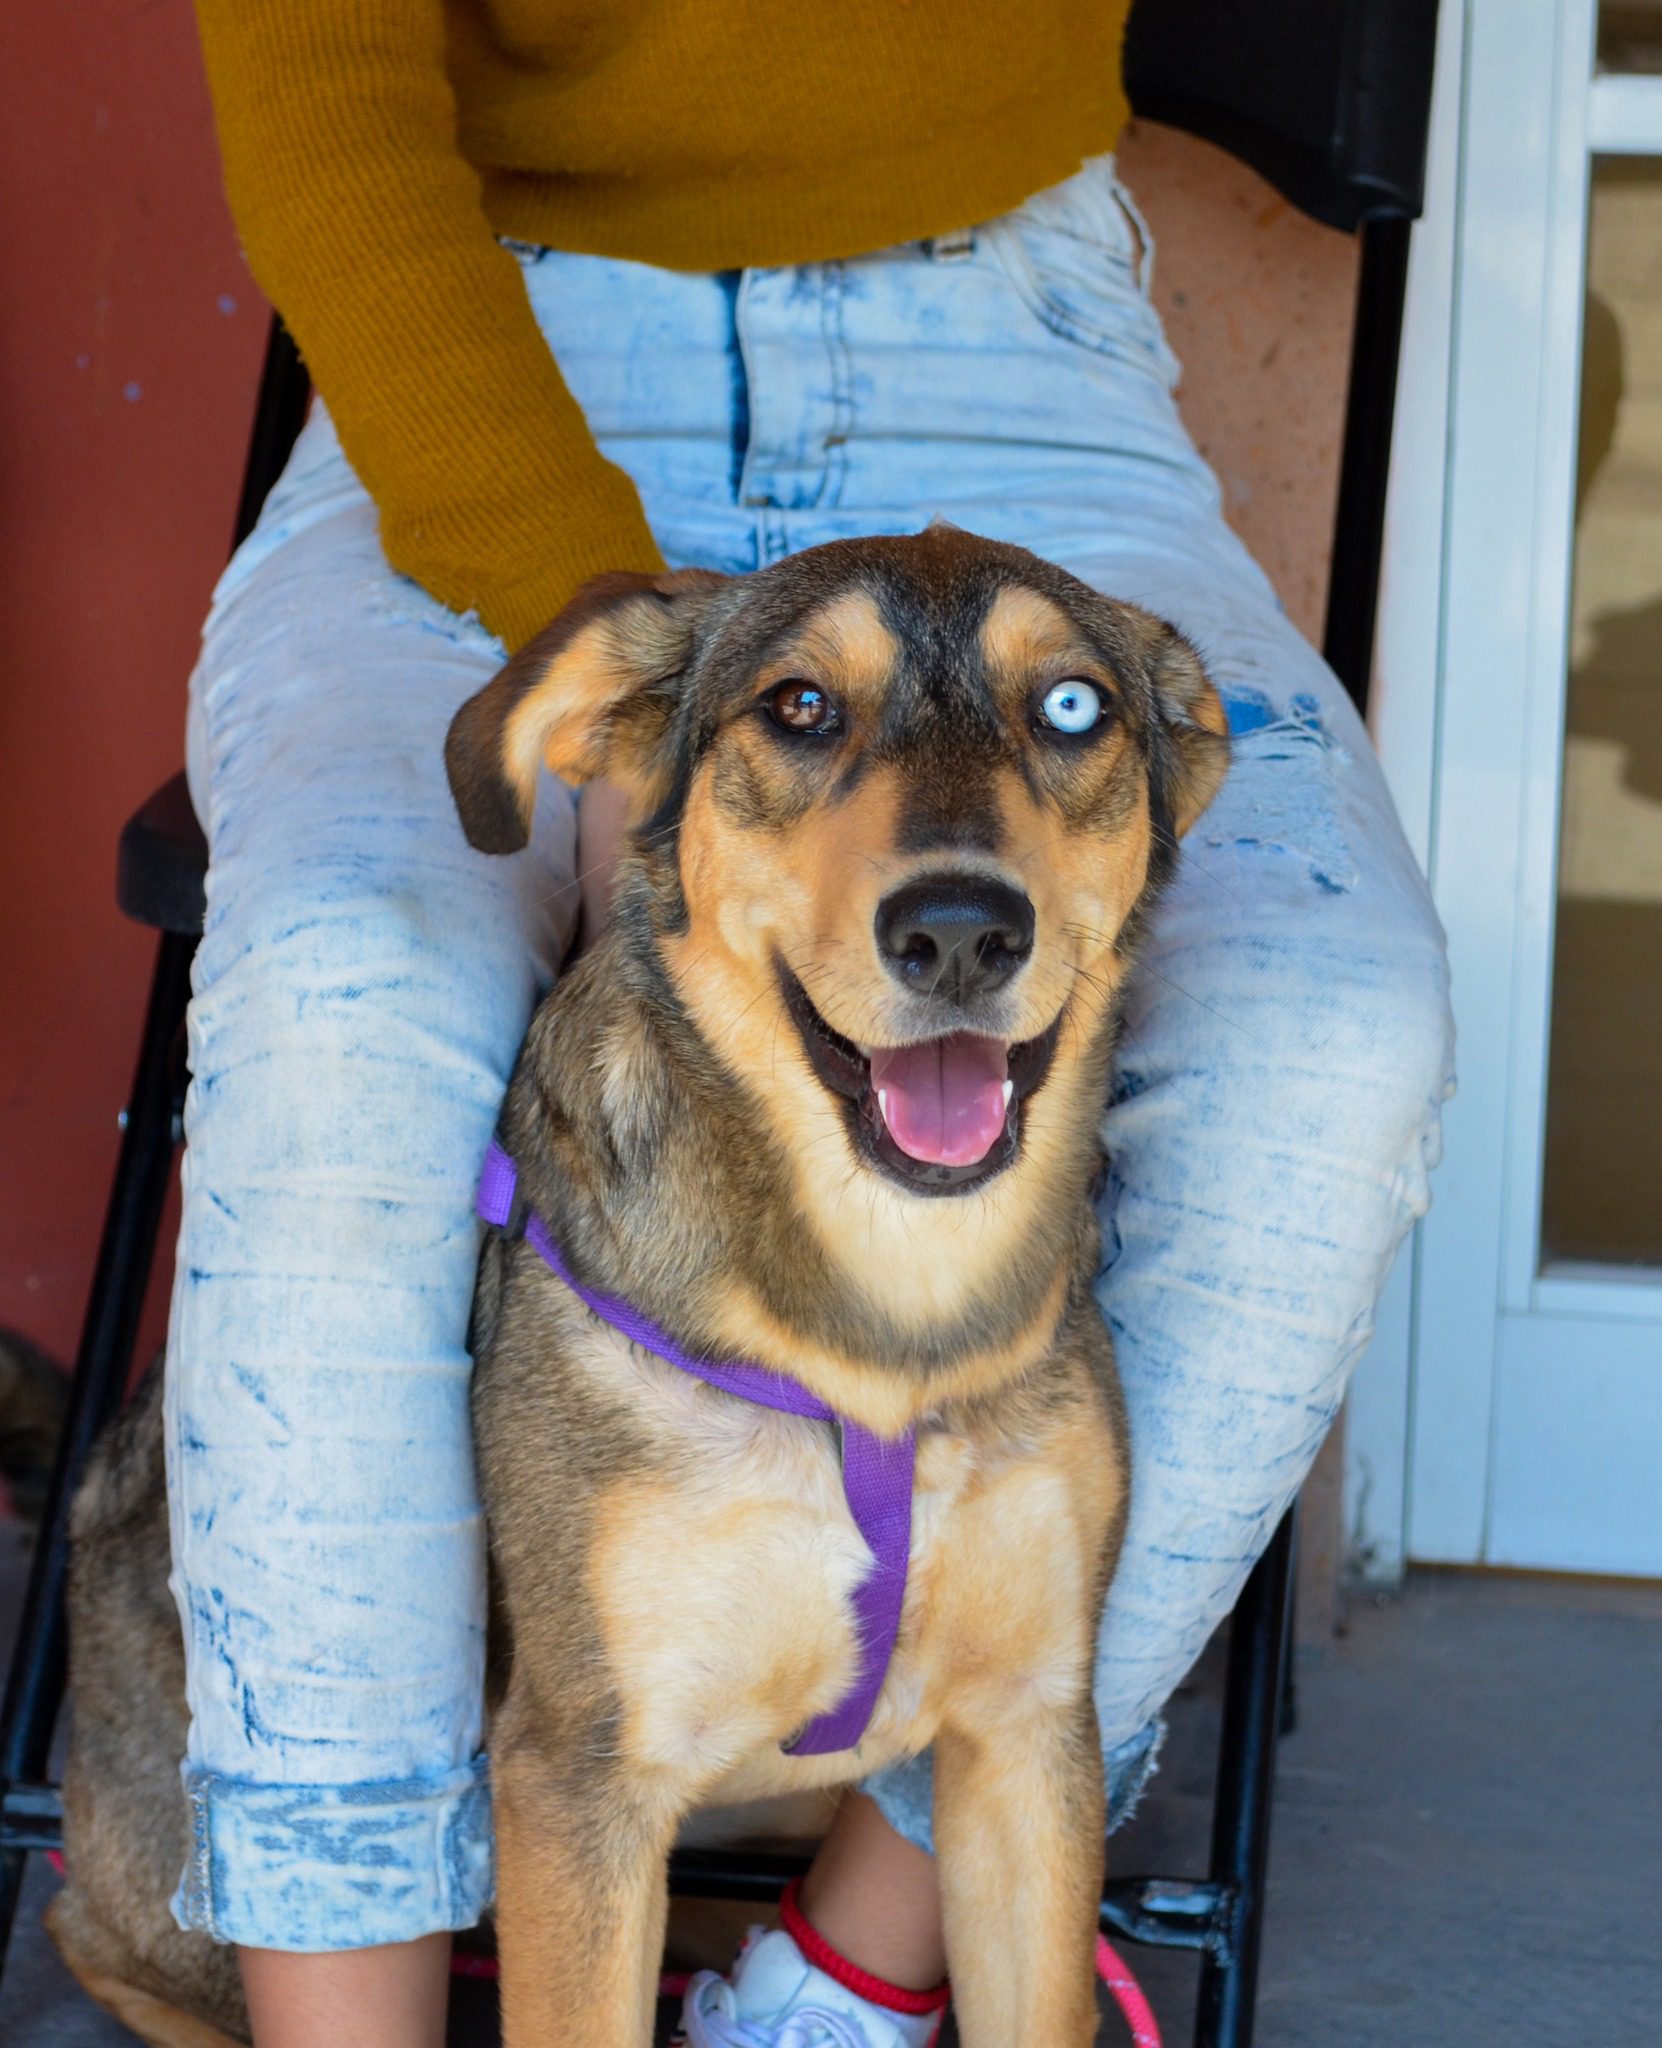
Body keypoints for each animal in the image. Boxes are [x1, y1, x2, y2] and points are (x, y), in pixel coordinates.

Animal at [48, 520, 1219, 2039]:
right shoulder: (581, 1778)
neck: (885, 1318)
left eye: (1071, 706)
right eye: (799, 706)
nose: (961, 930)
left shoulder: (1029, 1739)